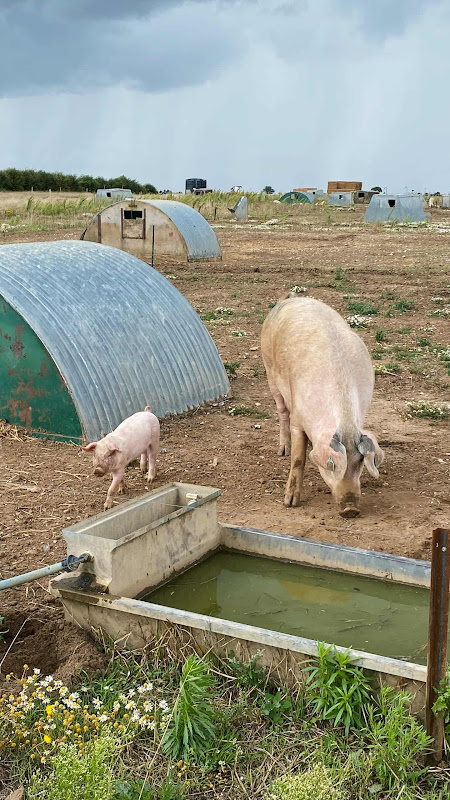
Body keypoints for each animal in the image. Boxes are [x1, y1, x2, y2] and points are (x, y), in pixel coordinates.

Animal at [261, 295, 384, 518]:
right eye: (331, 464)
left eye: (361, 462)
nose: (350, 509)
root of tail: (292, 298)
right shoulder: (298, 419)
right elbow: (299, 459)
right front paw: (289, 503)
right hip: (269, 371)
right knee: (282, 412)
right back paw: (283, 450)